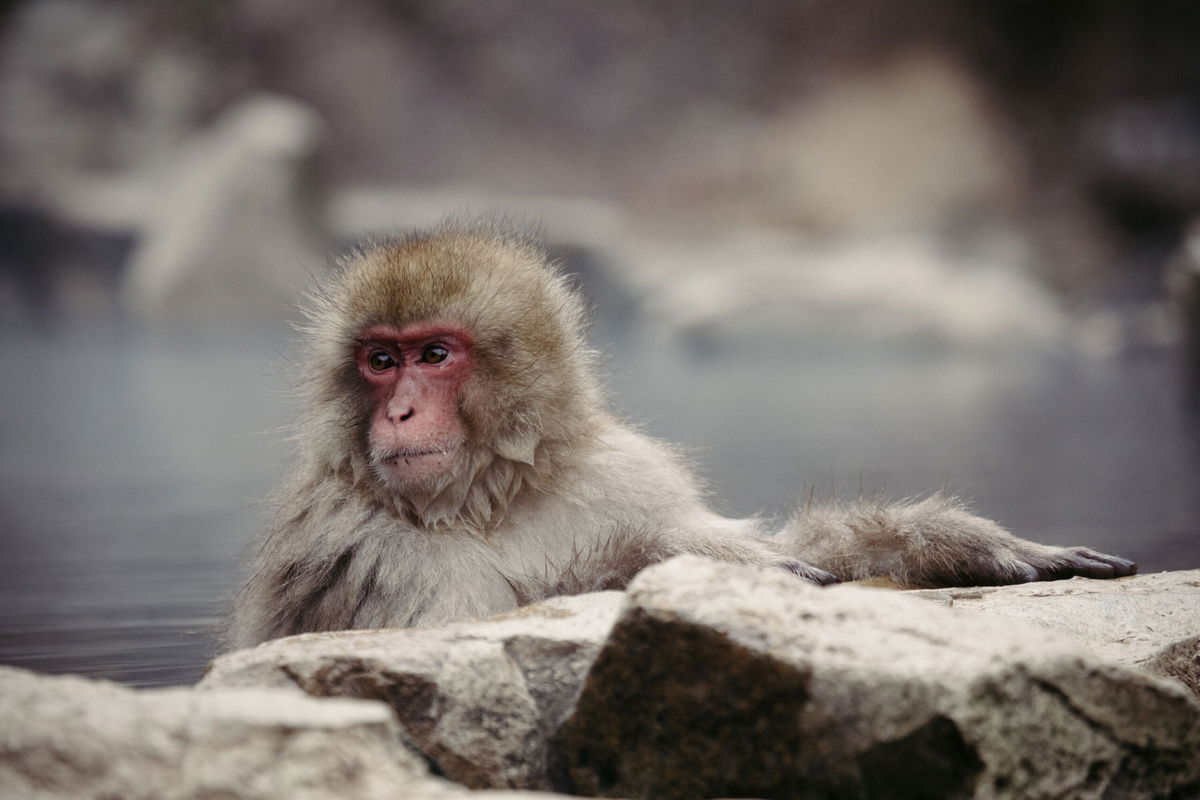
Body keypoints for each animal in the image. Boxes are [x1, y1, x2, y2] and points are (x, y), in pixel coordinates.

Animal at [223, 221, 1132, 647]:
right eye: (380, 360)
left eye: (434, 355)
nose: (401, 411)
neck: (491, 497)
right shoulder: (357, 537)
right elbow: (456, 634)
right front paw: (665, 563)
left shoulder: (619, 472)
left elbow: (771, 543)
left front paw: (955, 544)